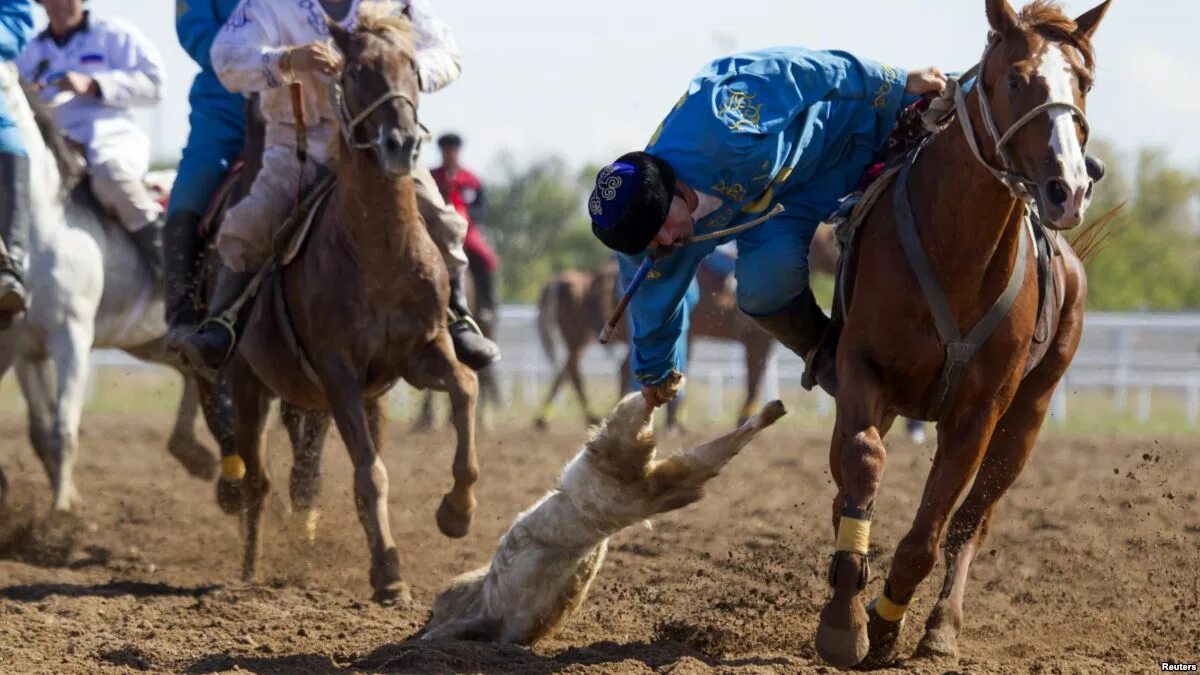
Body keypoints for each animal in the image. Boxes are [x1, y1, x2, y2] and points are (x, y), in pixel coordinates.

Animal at [223, 10, 475, 600]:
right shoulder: (338, 371)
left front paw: (456, 511)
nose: (400, 143)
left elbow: (465, 388)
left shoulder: (421, 351)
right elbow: (369, 471)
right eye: (356, 70)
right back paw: (247, 570)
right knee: (258, 482)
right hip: (250, 386)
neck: (377, 252)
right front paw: (389, 572)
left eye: (413, 66)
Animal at [816, 0, 1113, 662]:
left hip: (1027, 417)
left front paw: (887, 621)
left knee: (973, 520)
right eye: (1017, 79)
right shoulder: (861, 370)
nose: (1070, 188)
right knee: (850, 477)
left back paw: (941, 627)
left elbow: (932, 532)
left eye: (1083, 82)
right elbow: (861, 464)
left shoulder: (980, 412)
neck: (956, 251)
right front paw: (844, 618)